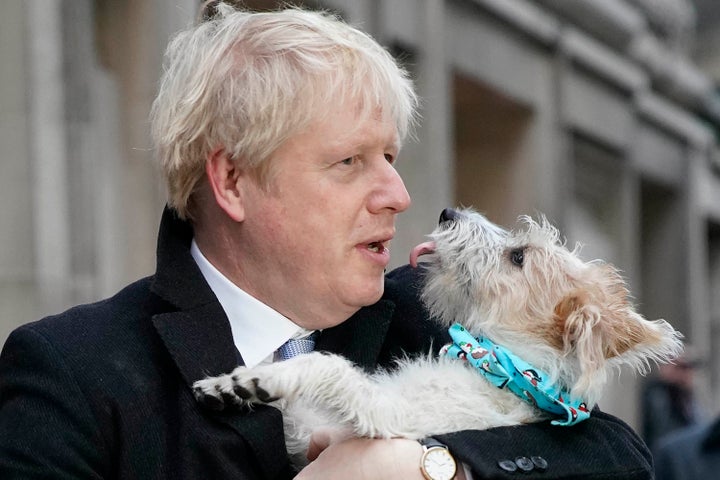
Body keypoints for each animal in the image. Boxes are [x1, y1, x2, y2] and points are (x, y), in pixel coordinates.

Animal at [190, 207, 680, 468]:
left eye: (518, 257)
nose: (448, 213)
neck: (499, 365)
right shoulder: (317, 427)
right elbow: (297, 408)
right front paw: (233, 383)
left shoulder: (388, 417)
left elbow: (327, 366)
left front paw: (250, 382)